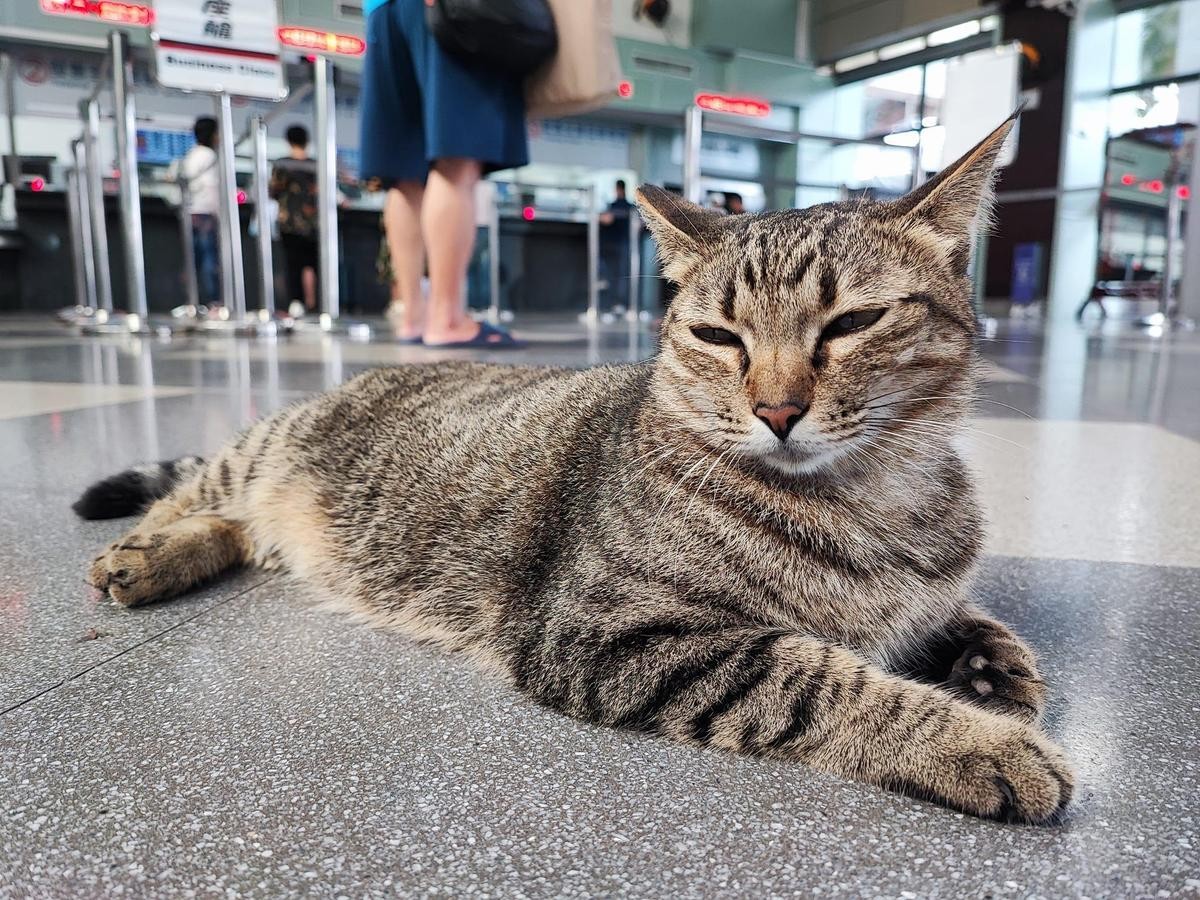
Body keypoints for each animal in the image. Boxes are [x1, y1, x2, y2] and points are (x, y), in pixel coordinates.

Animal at [79, 116, 1075, 830]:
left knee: (240, 529)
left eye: (852, 324)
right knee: (194, 496)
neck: (875, 495)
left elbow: (962, 617)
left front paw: (991, 668)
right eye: (718, 336)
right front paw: (982, 740)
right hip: (257, 455)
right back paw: (140, 555)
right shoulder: (612, 635)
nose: (777, 409)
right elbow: (822, 676)